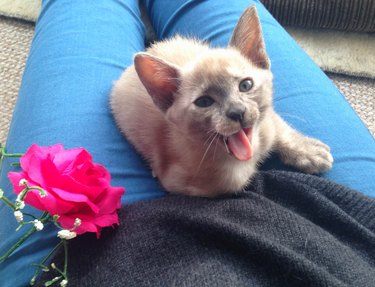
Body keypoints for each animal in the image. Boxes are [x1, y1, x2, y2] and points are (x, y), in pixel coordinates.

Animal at [110, 6, 334, 198]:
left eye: (246, 85)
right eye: (204, 102)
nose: (237, 112)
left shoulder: (267, 120)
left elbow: (280, 130)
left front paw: (309, 151)